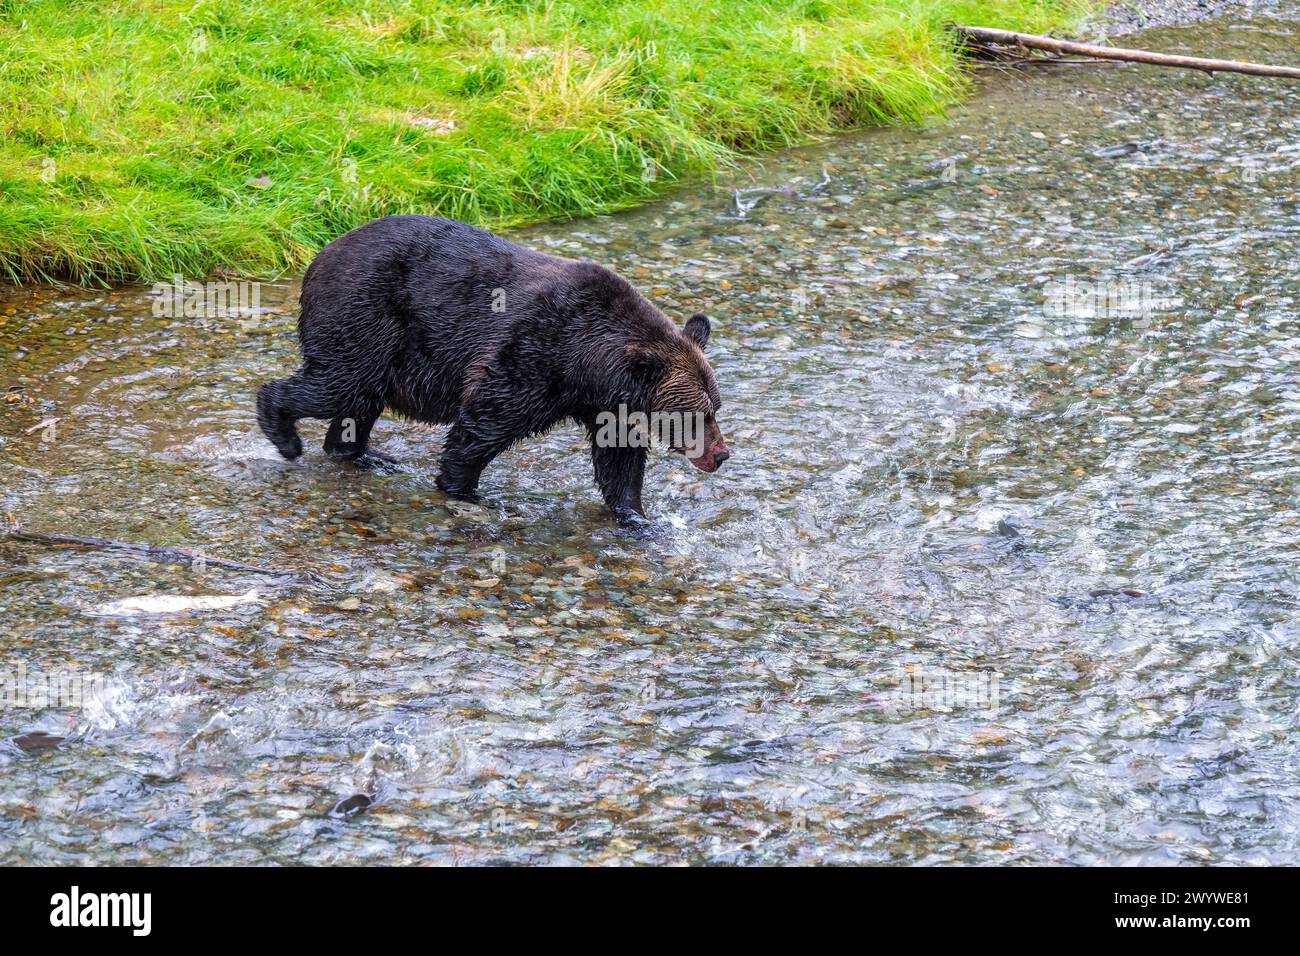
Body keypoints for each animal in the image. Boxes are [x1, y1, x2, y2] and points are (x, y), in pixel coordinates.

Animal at [253, 214, 733, 522]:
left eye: (715, 409)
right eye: (696, 414)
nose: (721, 454)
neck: (588, 365)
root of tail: (319, 257)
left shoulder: (606, 405)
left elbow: (619, 460)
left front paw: (636, 516)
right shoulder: (533, 352)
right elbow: (483, 423)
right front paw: (464, 489)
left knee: (357, 402)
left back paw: (368, 455)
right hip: (365, 317)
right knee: (337, 384)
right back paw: (285, 434)